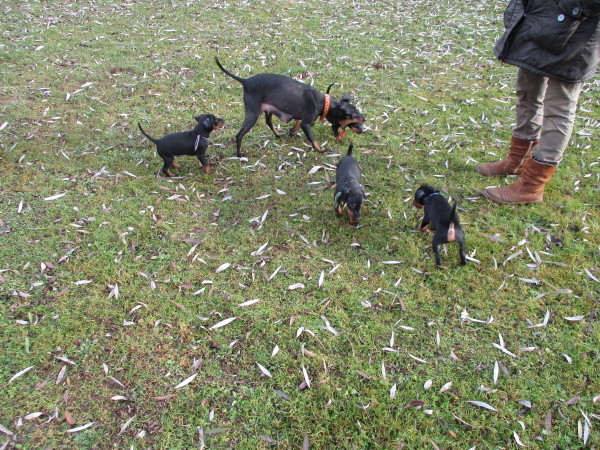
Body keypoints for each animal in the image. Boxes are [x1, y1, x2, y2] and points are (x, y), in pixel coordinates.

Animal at [215, 58, 366, 157]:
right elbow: (313, 140)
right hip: (253, 114)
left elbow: (297, 123)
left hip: (267, 109)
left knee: (268, 122)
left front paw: (292, 131)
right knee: (239, 135)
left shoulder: (298, 115)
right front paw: (321, 150)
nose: (364, 119)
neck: (324, 102)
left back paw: (278, 134)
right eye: (352, 114)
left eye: (356, 110)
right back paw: (239, 154)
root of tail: (245, 81)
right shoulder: (307, 123)